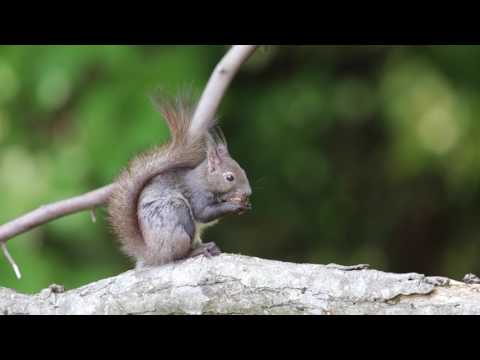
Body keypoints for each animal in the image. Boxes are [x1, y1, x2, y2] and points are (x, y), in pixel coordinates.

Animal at [107, 94, 253, 268]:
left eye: (244, 171)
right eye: (229, 177)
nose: (248, 192)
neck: (205, 181)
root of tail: (153, 253)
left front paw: (245, 204)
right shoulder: (198, 196)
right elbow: (204, 213)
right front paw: (234, 205)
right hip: (178, 218)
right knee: (179, 255)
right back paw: (198, 251)